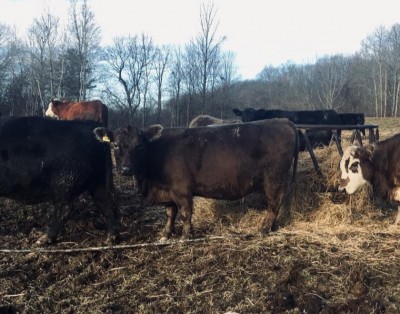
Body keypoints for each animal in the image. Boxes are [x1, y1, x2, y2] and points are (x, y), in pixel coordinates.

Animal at [0, 116, 119, 244]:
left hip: (64, 182)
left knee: (64, 208)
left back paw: (44, 238)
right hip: (97, 181)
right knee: (106, 203)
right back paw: (112, 237)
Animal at [95, 119, 298, 240]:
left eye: (140, 146)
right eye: (115, 145)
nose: (126, 169)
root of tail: (280, 121)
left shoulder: (181, 190)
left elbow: (185, 213)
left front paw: (185, 237)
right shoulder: (168, 192)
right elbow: (170, 213)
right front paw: (166, 234)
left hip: (274, 180)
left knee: (274, 204)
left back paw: (263, 229)